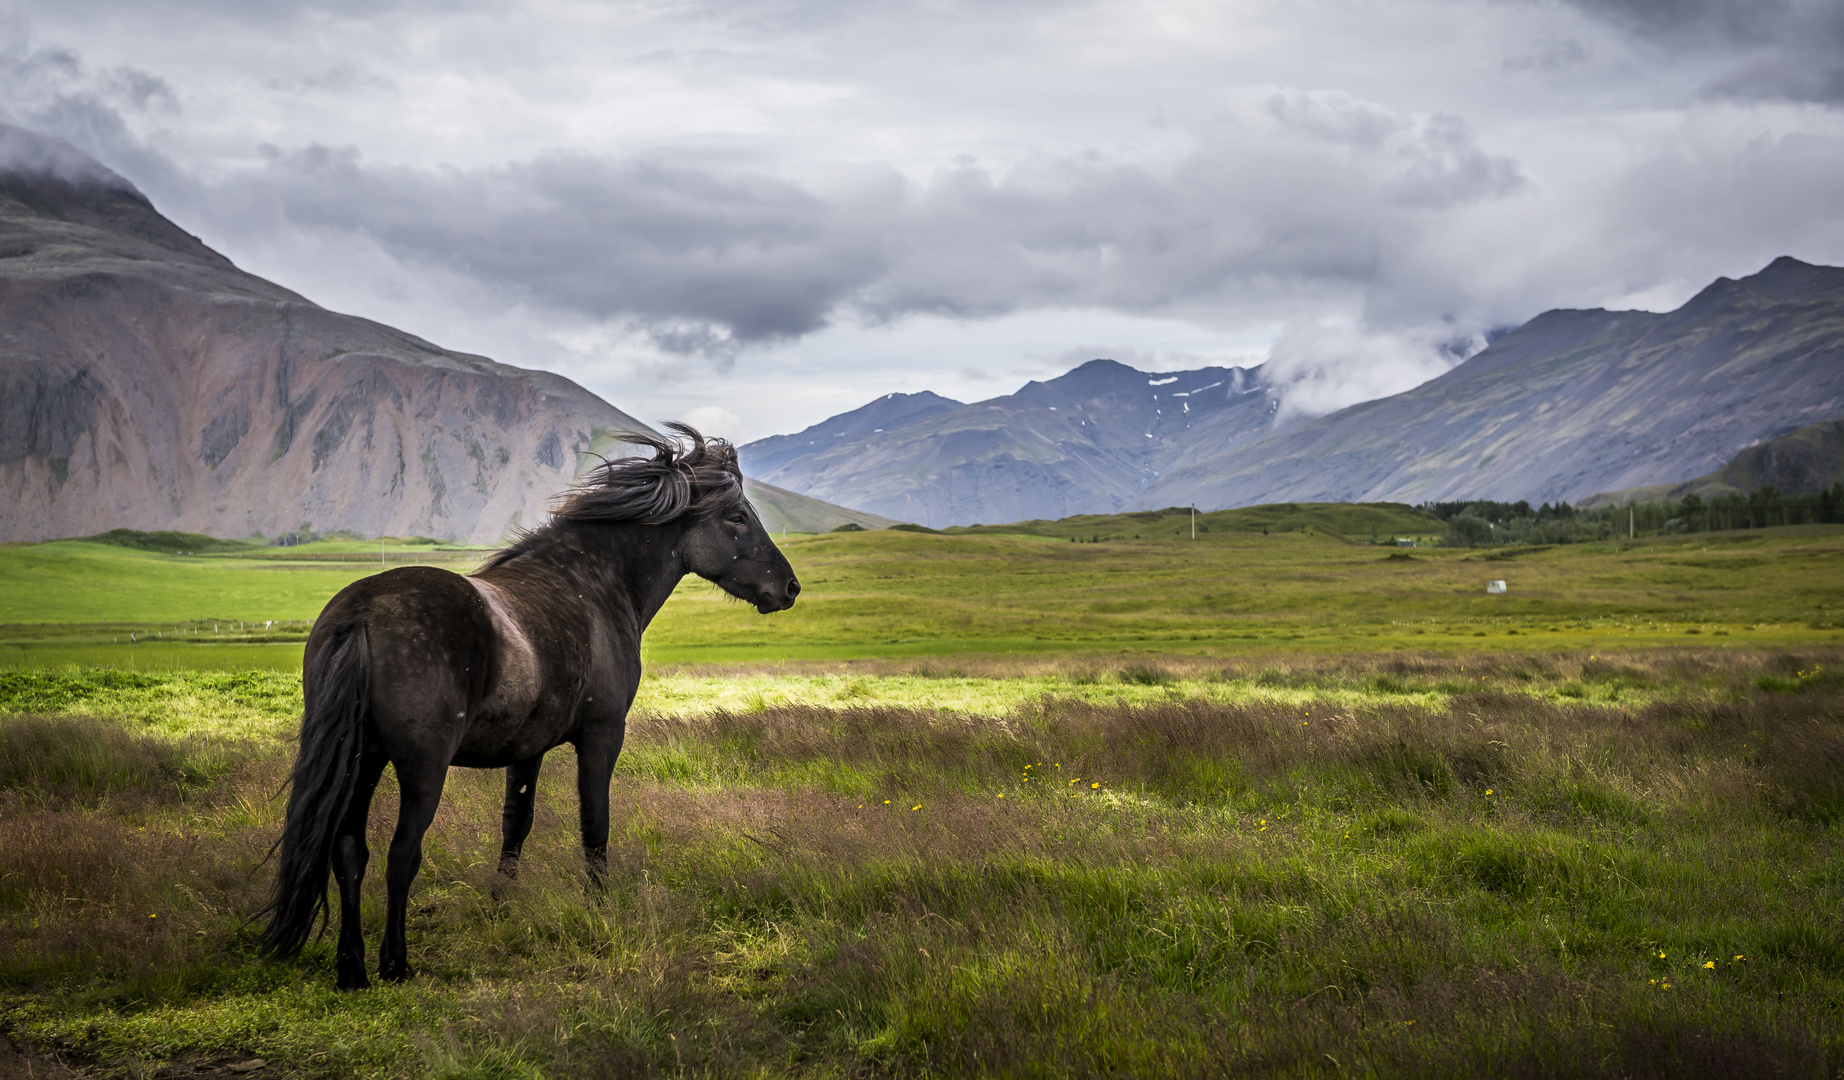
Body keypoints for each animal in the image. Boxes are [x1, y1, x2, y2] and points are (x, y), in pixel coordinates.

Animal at [254, 420, 792, 980]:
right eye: (737, 517)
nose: (789, 587)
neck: (592, 587)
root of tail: (361, 613)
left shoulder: (526, 752)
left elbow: (515, 826)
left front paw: (499, 907)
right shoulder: (602, 737)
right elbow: (594, 824)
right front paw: (599, 906)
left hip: (363, 763)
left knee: (349, 853)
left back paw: (352, 968)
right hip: (421, 768)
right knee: (401, 855)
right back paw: (395, 963)